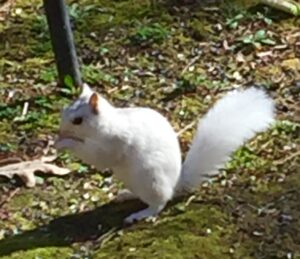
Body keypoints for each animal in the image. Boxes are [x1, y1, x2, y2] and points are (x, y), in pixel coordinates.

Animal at [55, 84, 276, 224]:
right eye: (65, 109)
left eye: (77, 120)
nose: (60, 130)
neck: (106, 125)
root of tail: (175, 184)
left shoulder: (112, 143)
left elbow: (96, 156)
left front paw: (63, 143)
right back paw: (125, 195)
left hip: (151, 181)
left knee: (159, 204)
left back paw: (140, 214)